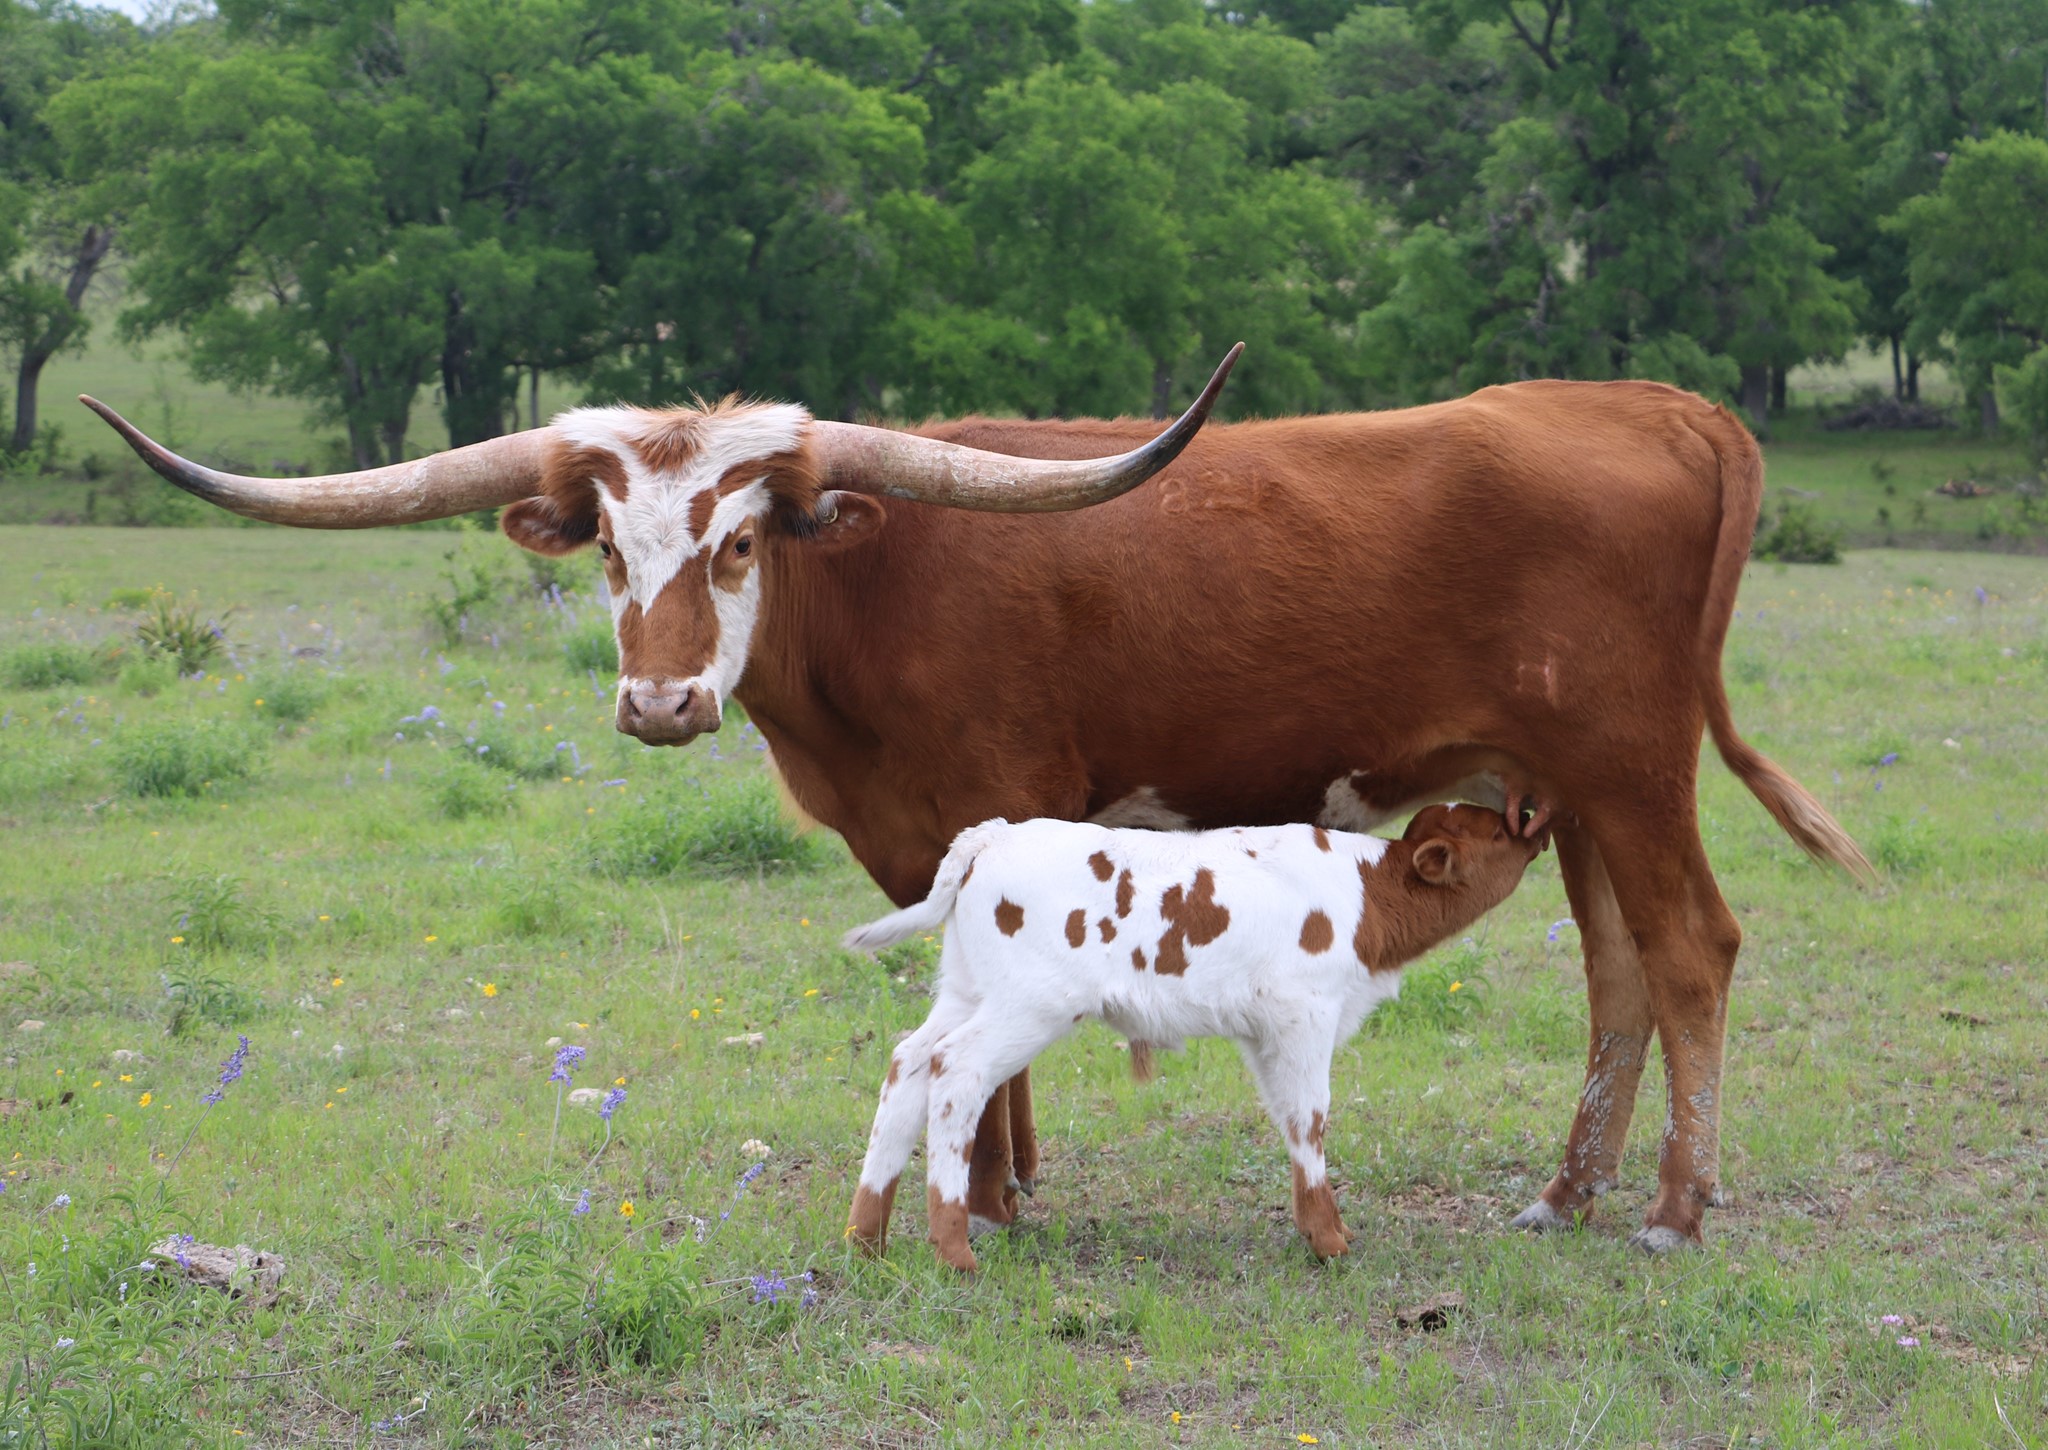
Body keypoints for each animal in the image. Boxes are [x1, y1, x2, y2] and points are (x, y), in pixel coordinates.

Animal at [841, 804, 1547, 1270]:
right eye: (1495, 830)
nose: (1535, 817)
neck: (1365, 898)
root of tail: (994, 835)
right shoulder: (1305, 1015)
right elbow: (1311, 1119)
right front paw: (1332, 1242)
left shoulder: (1266, 1031)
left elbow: (1289, 1120)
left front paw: (1316, 1229)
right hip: (1028, 1005)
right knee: (955, 1071)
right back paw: (953, 1251)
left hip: (967, 990)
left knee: (908, 1062)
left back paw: (866, 1238)